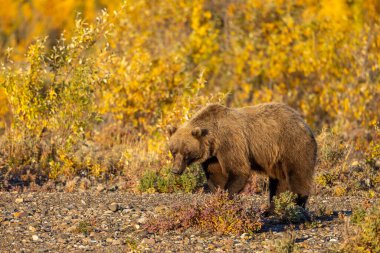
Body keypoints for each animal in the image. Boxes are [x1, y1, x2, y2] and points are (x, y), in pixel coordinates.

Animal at [168, 103, 318, 208]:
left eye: (186, 153)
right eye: (173, 151)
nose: (175, 170)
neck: (213, 139)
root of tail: (304, 124)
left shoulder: (230, 142)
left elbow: (239, 170)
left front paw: (226, 196)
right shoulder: (213, 157)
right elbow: (216, 176)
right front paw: (218, 194)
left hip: (292, 145)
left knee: (298, 175)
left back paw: (296, 204)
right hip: (276, 160)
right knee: (279, 183)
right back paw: (272, 209)